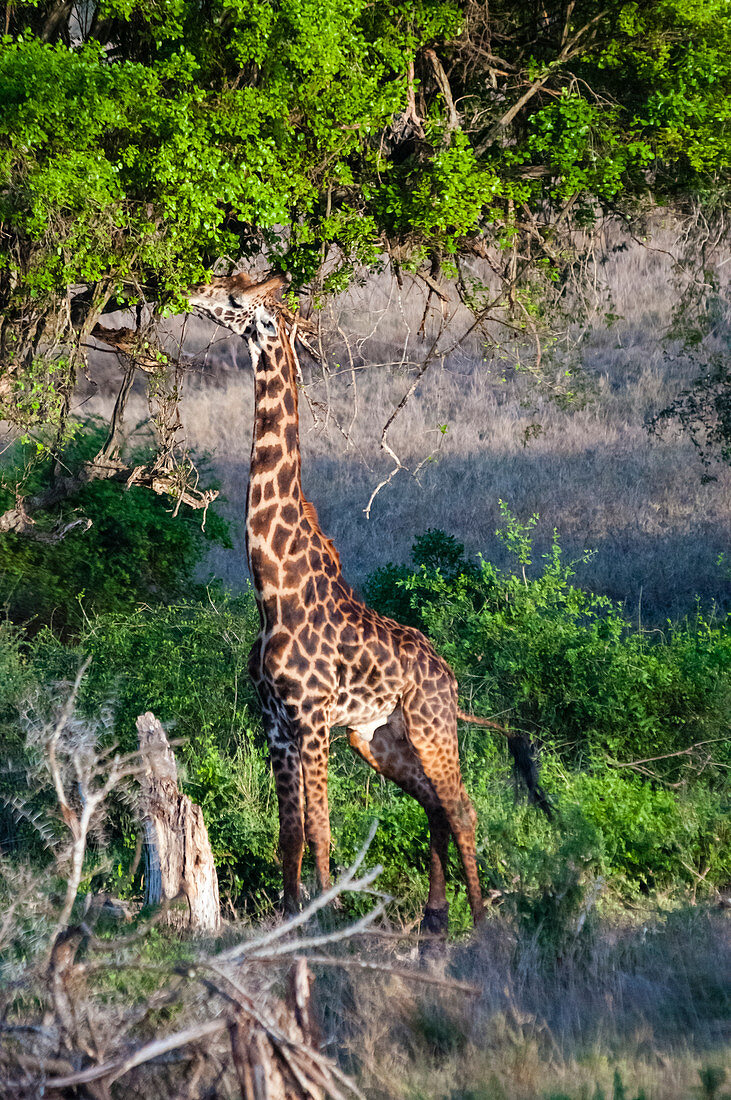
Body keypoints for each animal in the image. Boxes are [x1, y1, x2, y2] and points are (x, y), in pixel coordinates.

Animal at [187, 270, 547, 932]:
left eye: (234, 299)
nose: (194, 293)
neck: (273, 590)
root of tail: (450, 677)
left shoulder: (311, 721)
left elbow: (322, 832)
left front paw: (327, 920)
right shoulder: (277, 724)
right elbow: (290, 835)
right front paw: (290, 920)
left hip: (431, 727)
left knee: (462, 807)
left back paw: (480, 921)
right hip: (379, 737)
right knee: (434, 804)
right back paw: (435, 917)